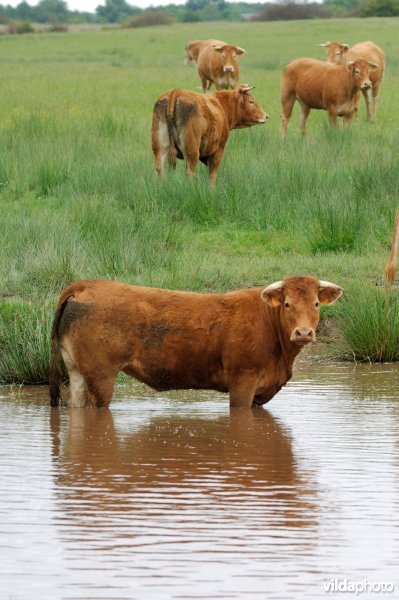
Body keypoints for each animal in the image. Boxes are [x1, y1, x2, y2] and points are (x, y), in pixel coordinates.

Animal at [49, 276, 344, 408]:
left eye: (316, 304)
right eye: (287, 304)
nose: (303, 333)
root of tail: (87, 284)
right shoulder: (243, 383)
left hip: (76, 371)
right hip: (100, 376)